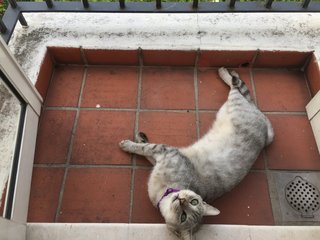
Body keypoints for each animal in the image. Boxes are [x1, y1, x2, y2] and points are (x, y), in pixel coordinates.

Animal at [119, 67, 274, 240]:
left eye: (184, 216)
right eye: (194, 201)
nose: (181, 200)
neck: (164, 190)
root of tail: (266, 135)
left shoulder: (166, 153)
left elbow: (145, 149)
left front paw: (127, 144)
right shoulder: (164, 155)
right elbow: (146, 150)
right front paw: (139, 139)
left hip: (234, 105)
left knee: (236, 88)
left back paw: (224, 72)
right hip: (235, 105)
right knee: (239, 87)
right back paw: (226, 72)